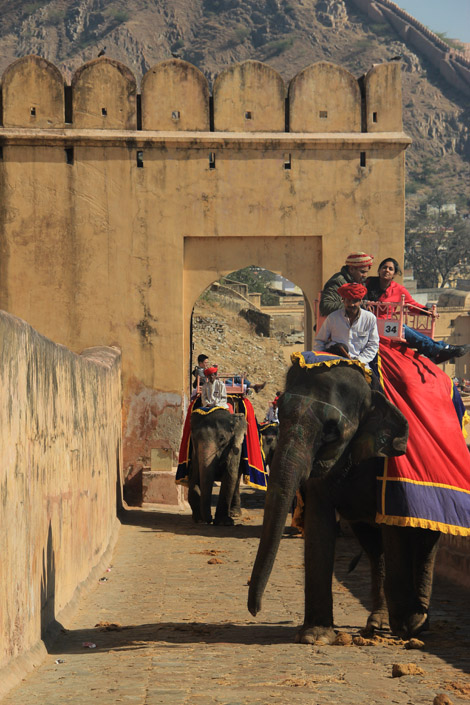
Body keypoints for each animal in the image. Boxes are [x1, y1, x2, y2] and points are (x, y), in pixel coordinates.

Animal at [246, 364, 440, 644]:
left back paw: (418, 622)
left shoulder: (392, 464)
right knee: (373, 547)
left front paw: (405, 628)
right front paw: (315, 636)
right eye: (280, 413)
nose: (255, 610)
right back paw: (378, 623)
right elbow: (319, 522)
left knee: (426, 541)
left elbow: (394, 529)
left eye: (331, 431)